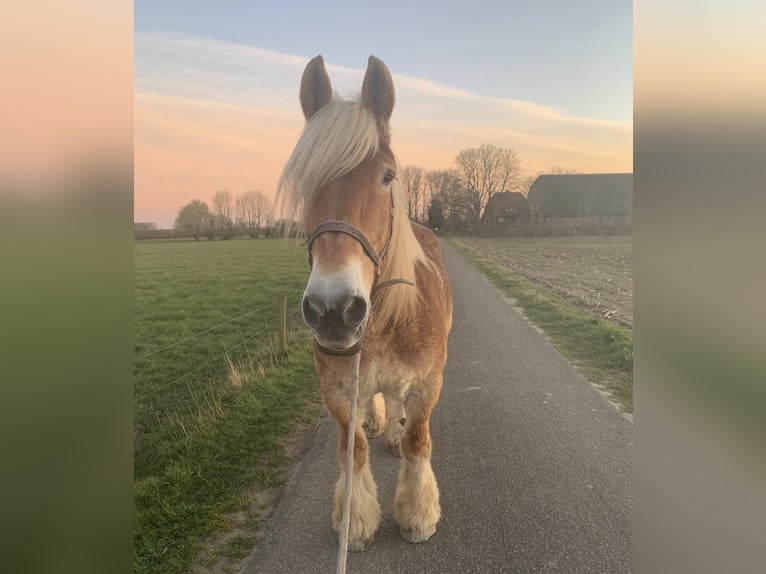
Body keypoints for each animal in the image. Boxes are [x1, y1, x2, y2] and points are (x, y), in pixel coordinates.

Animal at [278, 55, 452, 552]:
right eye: (305, 181)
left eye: (387, 176)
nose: (332, 309)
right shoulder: (337, 391)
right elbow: (351, 450)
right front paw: (354, 522)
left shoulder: (428, 383)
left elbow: (417, 441)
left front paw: (417, 515)